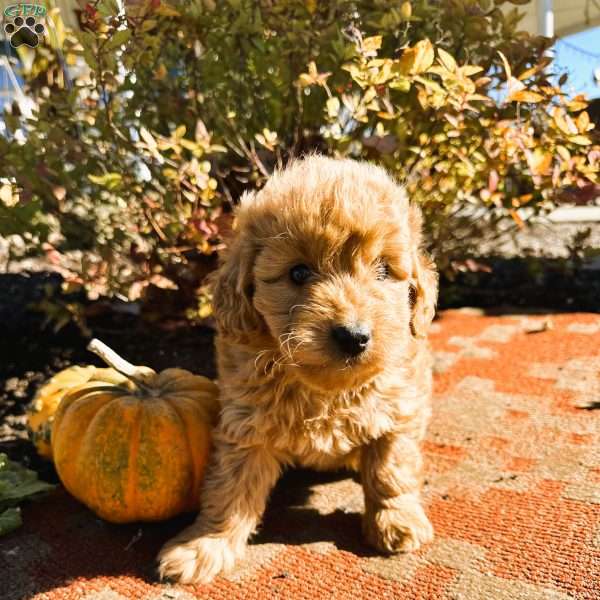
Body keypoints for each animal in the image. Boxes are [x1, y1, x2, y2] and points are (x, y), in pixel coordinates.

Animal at [157, 155, 438, 580]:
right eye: (298, 273)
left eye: (384, 270)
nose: (353, 336)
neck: (324, 390)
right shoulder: (246, 423)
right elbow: (229, 488)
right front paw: (204, 546)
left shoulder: (398, 409)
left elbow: (391, 470)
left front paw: (397, 521)